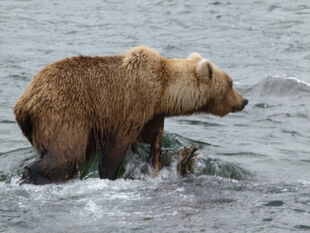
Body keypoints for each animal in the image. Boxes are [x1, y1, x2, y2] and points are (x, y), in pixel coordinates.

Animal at [13, 46, 248, 184]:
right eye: (230, 83)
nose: (244, 101)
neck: (163, 91)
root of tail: (24, 101)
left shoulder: (153, 113)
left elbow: (153, 138)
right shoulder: (132, 104)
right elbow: (117, 145)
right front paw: (110, 173)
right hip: (64, 113)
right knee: (67, 154)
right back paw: (30, 174)